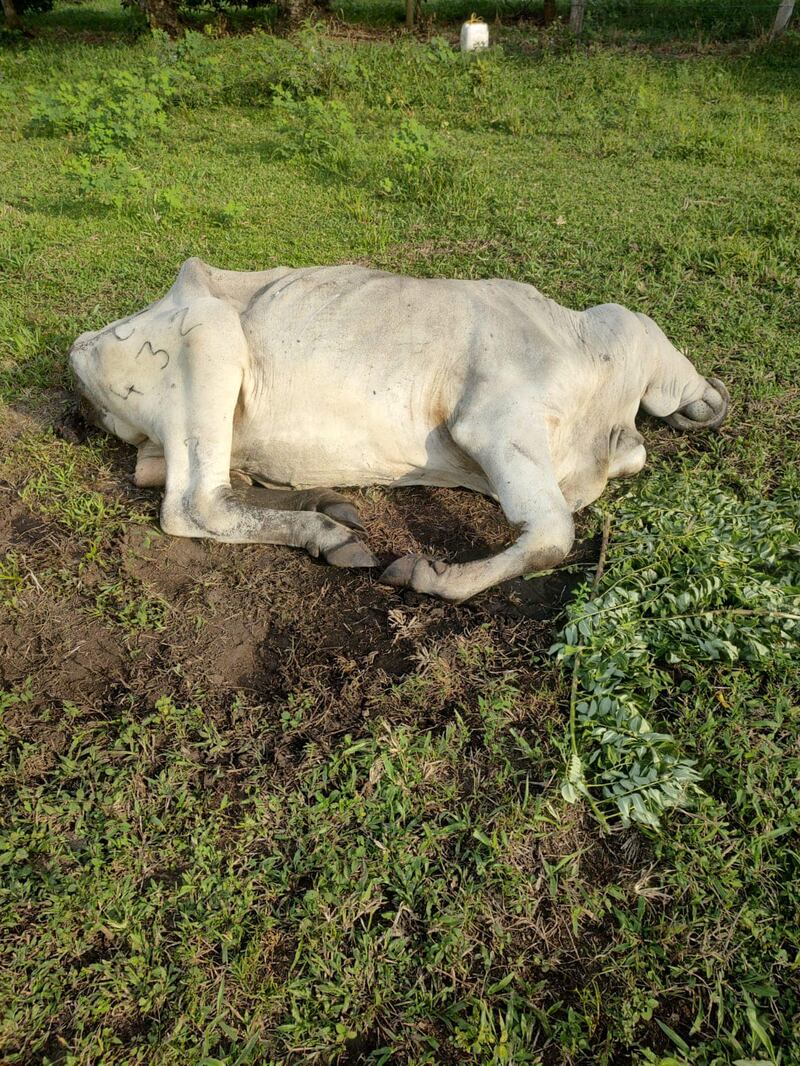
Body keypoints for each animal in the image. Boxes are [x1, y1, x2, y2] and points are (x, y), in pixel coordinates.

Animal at [70, 260, 733, 601]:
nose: (714, 400)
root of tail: (87, 343)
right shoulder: (495, 419)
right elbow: (552, 534)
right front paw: (434, 576)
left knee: (168, 473)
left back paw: (325, 502)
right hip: (208, 335)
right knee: (194, 503)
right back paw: (325, 533)